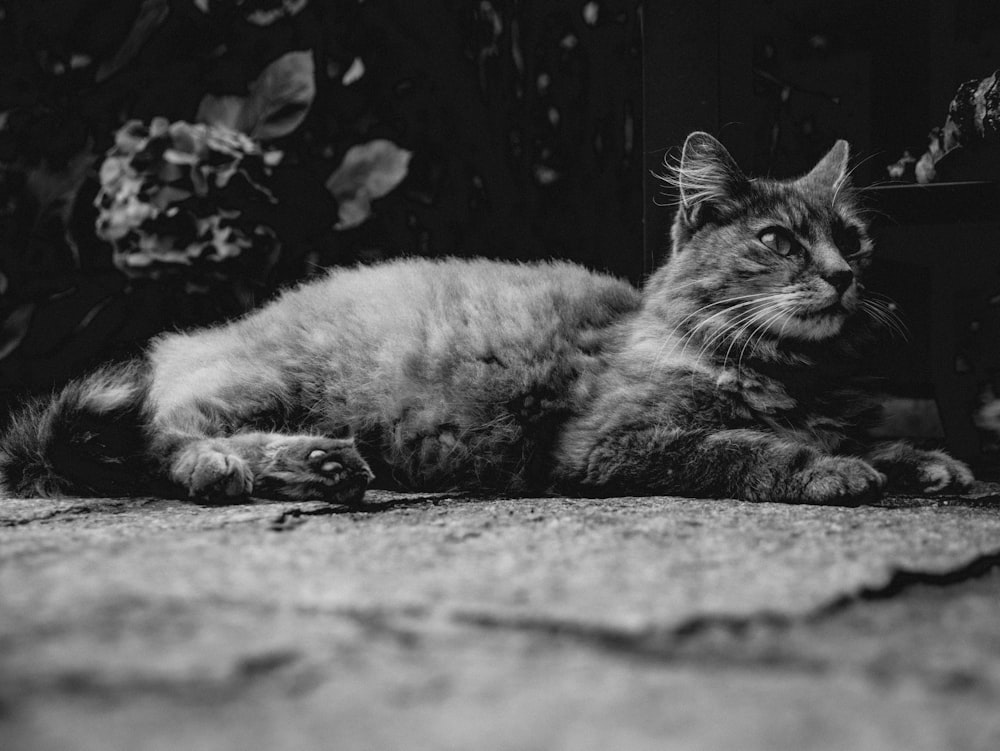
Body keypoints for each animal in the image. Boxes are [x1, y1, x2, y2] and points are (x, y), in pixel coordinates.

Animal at [0, 132, 972, 508]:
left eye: (852, 238)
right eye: (777, 240)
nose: (845, 277)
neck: (792, 373)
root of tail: (192, 337)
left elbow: (872, 437)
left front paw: (927, 460)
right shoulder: (610, 441)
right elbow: (749, 447)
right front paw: (832, 470)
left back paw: (320, 466)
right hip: (254, 382)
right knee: (161, 439)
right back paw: (247, 465)